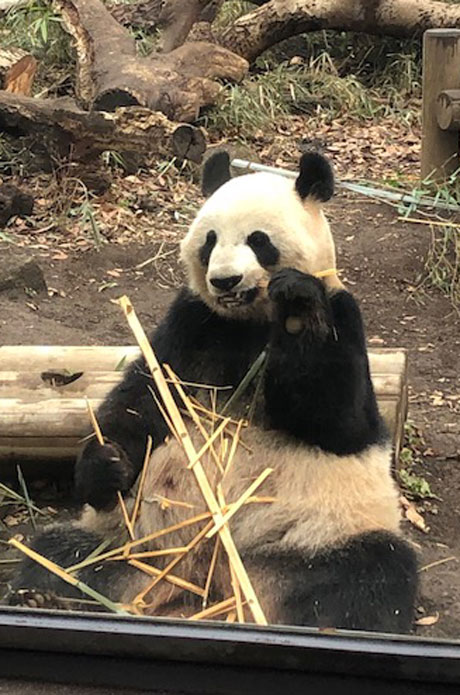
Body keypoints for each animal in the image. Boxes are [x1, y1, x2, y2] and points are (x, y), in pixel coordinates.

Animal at [12, 150, 418, 632]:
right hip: (136, 545)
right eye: (209, 240)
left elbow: (340, 420)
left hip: (319, 536)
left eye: (259, 240)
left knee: (370, 575)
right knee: (60, 555)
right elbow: (142, 400)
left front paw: (298, 304)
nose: (225, 281)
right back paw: (45, 597)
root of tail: (205, 587)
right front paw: (107, 465)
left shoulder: (342, 314)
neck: (248, 320)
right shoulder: (192, 324)